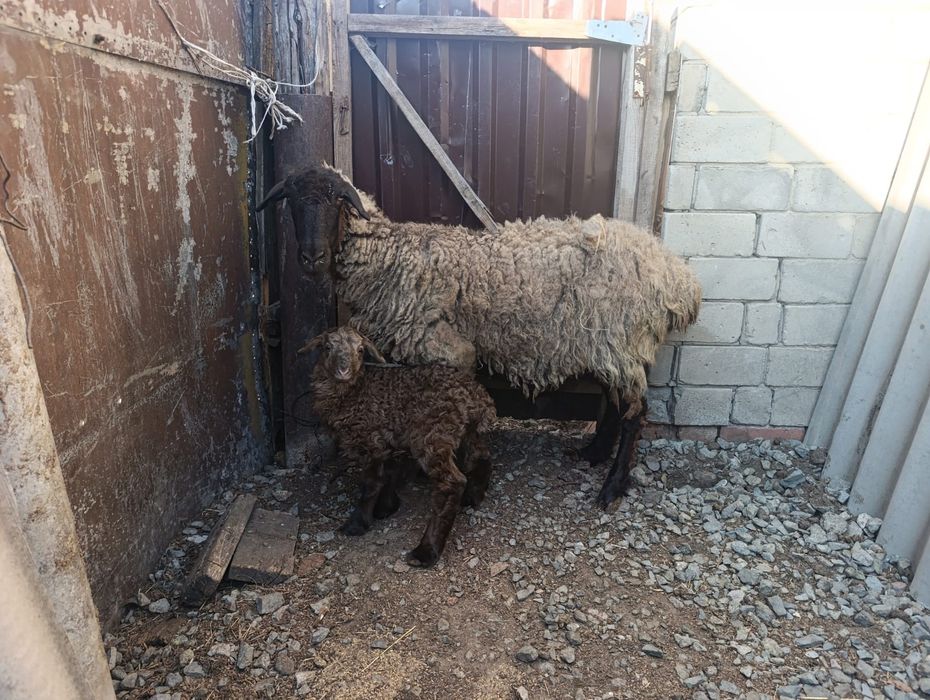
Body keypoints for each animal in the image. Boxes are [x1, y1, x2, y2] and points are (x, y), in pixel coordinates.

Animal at [259, 165, 701, 508]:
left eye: (335, 201)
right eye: (293, 202)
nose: (311, 258)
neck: (389, 258)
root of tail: (676, 276)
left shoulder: (446, 348)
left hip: (621, 340)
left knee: (635, 414)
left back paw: (612, 487)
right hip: (604, 342)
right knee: (615, 403)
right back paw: (592, 453)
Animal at [301, 325, 496, 566]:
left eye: (360, 350)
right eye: (327, 347)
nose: (343, 370)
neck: (354, 391)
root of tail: (478, 399)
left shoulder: (369, 440)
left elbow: (370, 484)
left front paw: (357, 524)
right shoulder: (386, 440)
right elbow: (388, 474)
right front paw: (386, 508)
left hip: (432, 434)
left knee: (452, 482)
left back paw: (425, 552)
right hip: (467, 432)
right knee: (482, 456)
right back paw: (474, 497)